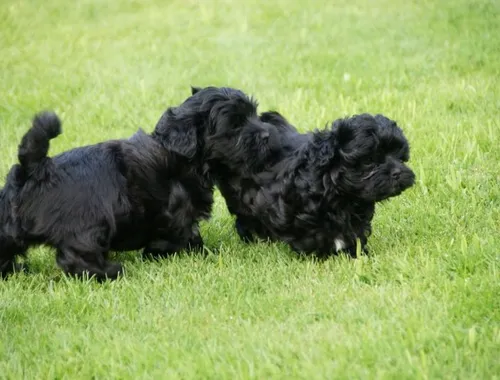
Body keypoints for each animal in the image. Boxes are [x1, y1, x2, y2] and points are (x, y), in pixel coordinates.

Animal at [209, 110, 416, 258]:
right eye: (369, 160)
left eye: (400, 157)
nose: (397, 172)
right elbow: (310, 232)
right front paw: (320, 253)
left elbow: (356, 230)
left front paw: (357, 252)